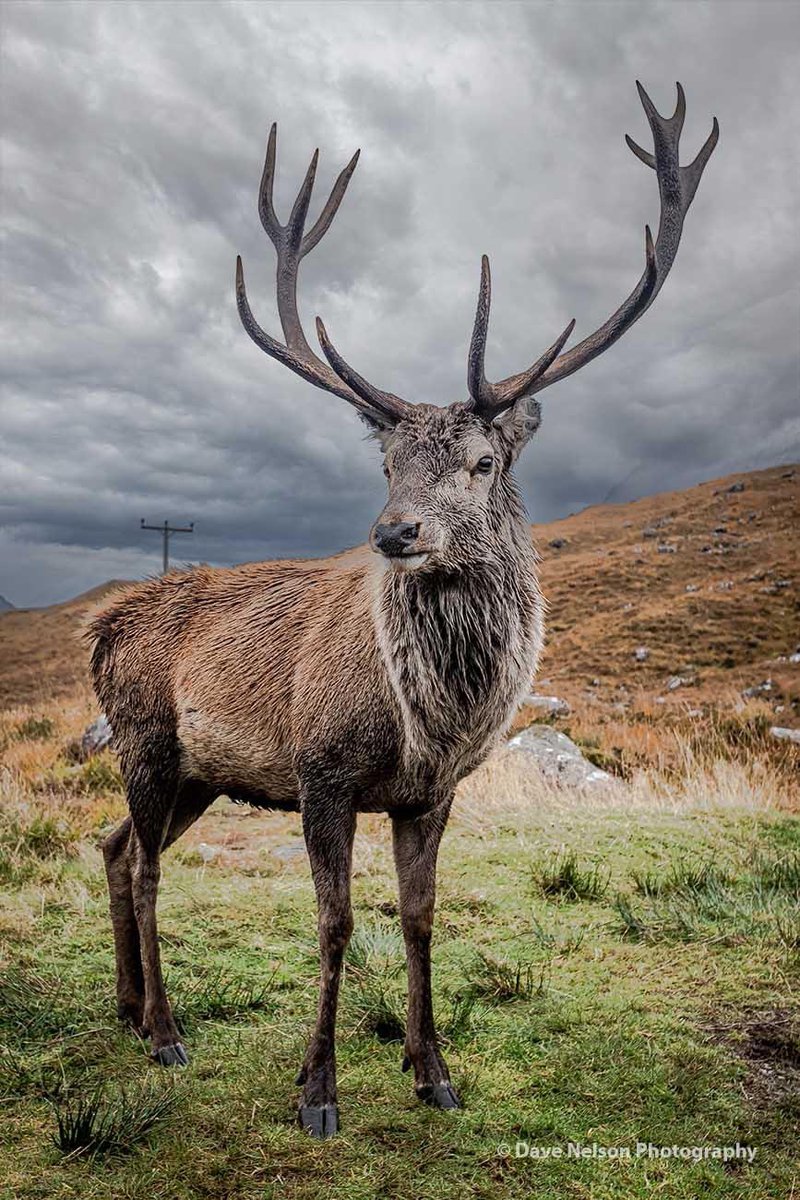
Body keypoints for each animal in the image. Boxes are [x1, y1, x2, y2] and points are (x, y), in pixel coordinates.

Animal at [88, 83, 717, 1137]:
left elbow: (419, 918)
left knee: (112, 843)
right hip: (146, 739)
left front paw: (434, 1073)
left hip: (200, 774)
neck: (430, 718)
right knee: (142, 867)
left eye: (482, 462)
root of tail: (98, 630)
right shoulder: (321, 770)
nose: (395, 532)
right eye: (385, 464)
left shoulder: (432, 794)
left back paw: (132, 1011)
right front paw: (317, 1091)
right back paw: (167, 1031)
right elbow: (337, 920)